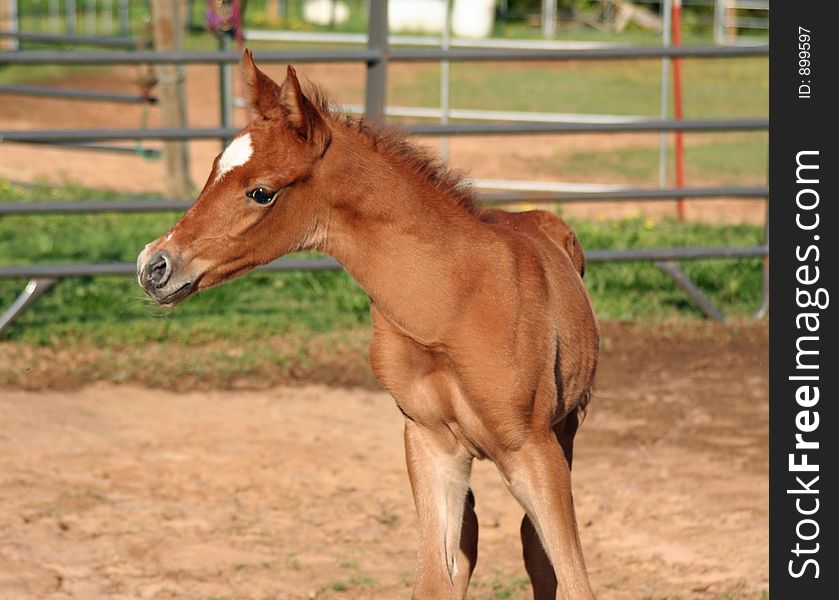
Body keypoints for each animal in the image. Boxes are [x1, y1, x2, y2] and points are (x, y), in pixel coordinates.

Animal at [136, 52, 596, 600]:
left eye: (261, 192)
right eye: (211, 171)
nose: (153, 265)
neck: (454, 302)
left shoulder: (533, 450)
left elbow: (570, 575)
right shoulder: (430, 443)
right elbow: (436, 579)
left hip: (566, 430)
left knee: (535, 547)